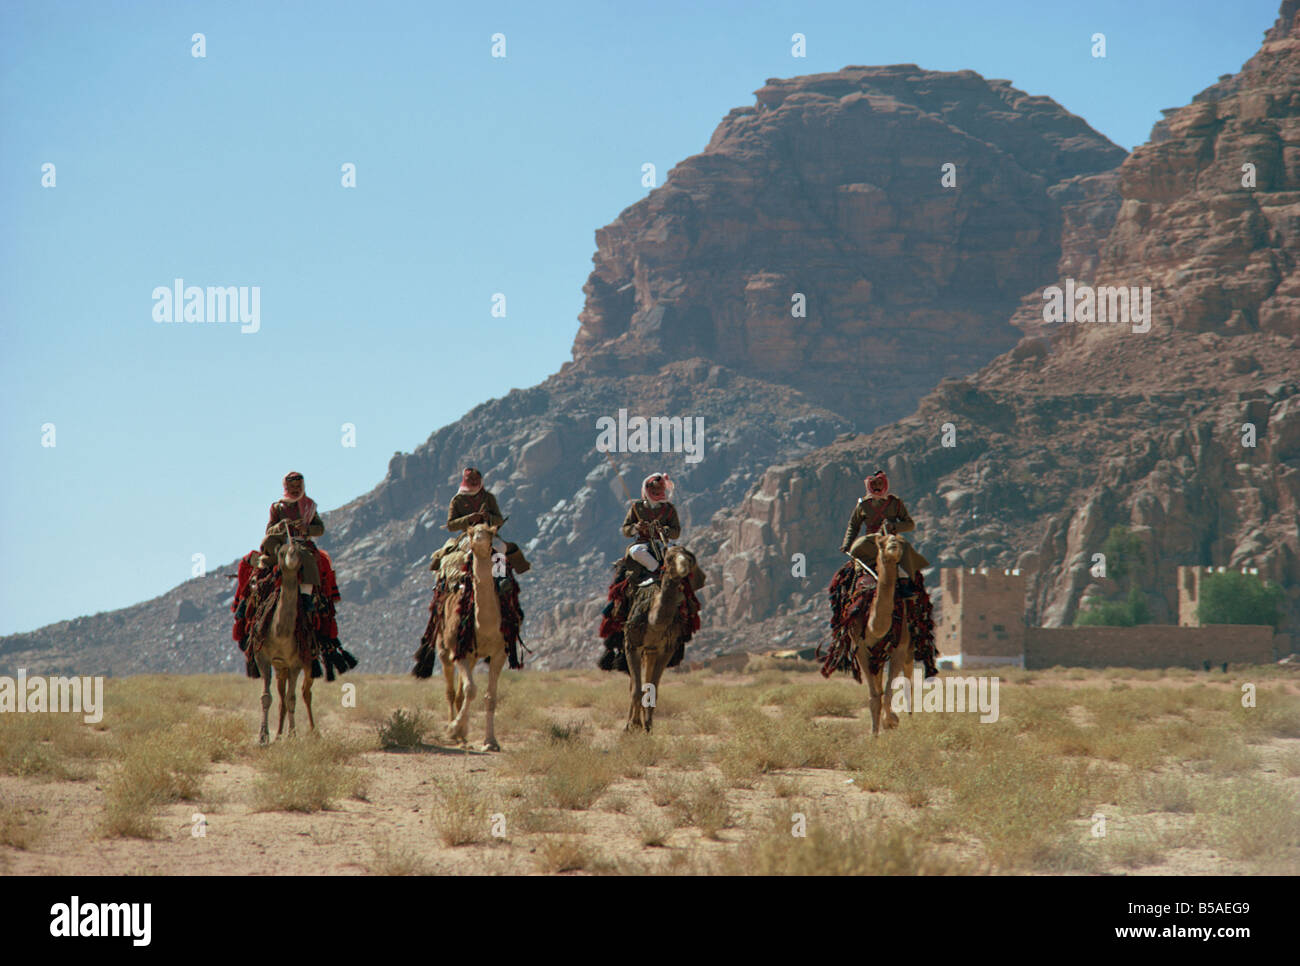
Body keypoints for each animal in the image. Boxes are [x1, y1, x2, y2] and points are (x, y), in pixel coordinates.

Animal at [253, 533, 314, 743]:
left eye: (301, 552)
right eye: (281, 552)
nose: (292, 559)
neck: (279, 634)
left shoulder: (296, 662)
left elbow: (292, 698)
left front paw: (293, 734)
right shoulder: (262, 657)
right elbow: (266, 696)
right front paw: (263, 736)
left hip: (302, 663)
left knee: (303, 693)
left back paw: (314, 732)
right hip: (280, 667)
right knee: (281, 696)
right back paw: (278, 734)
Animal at [439, 525, 504, 754]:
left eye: (491, 532)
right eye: (470, 532)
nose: (479, 539)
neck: (483, 626)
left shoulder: (499, 653)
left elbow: (490, 697)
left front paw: (491, 741)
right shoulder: (458, 650)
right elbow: (471, 690)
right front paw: (452, 729)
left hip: (473, 656)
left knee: (459, 691)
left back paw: (463, 736)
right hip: (446, 650)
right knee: (451, 691)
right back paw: (454, 732)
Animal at [626, 548, 707, 728]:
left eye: (690, 559)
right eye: (669, 558)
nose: (684, 567)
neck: (654, 621)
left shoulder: (666, 650)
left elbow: (654, 688)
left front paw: (647, 726)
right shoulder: (632, 644)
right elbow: (635, 690)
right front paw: (632, 726)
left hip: (652, 651)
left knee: (648, 683)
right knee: (636, 685)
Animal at [852, 525, 915, 738]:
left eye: (900, 541)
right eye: (881, 543)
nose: (893, 545)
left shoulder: (899, 648)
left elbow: (888, 692)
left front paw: (891, 721)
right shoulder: (861, 650)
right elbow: (874, 696)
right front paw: (874, 734)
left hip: (908, 648)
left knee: (909, 680)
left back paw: (912, 720)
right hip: (876, 657)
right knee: (879, 687)